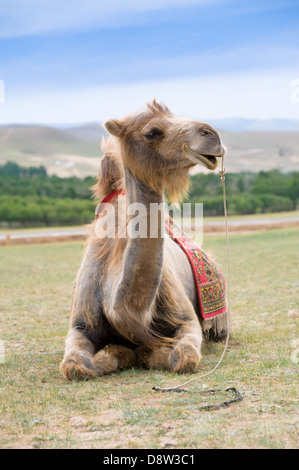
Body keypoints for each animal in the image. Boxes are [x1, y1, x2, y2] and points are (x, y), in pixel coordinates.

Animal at [59, 101, 227, 380]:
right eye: (151, 133)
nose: (211, 134)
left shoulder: (187, 320)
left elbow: (185, 357)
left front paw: (143, 351)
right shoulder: (80, 325)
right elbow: (74, 366)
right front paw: (118, 352)